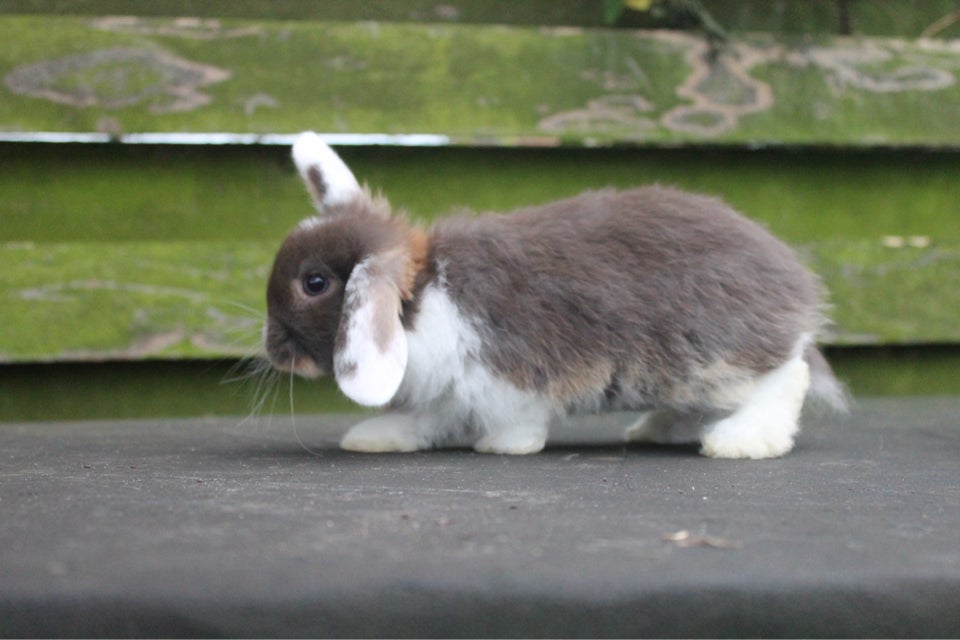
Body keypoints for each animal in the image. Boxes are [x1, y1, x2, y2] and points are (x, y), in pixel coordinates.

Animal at [264, 132, 848, 458]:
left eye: (314, 283)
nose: (272, 350)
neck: (420, 300)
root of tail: (792, 284)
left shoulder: (506, 378)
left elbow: (516, 421)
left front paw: (503, 447)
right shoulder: (447, 392)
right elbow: (425, 421)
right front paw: (375, 436)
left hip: (713, 358)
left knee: (787, 377)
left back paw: (739, 443)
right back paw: (654, 429)